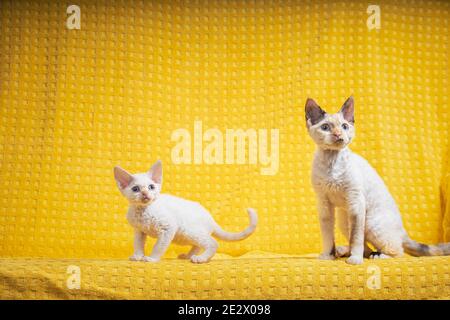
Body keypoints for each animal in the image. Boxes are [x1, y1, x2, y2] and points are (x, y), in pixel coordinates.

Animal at [114, 160, 258, 262]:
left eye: (151, 187)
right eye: (136, 189)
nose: (145, 194)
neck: (143, 210)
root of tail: (210, 218)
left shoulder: (168, 228)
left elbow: (159, 246)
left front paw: (152, 258)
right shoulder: (139, 230)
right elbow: (138, 244)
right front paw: (137, 256)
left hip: (189, 231)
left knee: (212, 243)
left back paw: (201, 259)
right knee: (198, 245)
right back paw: (189, 256)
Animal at [306, 95, 450, 264]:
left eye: (344, 126)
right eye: (325, 127)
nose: (338, 135)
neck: (331, 162)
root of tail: (402, 230)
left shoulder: (355, 201)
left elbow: (356, 238)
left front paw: (355, 260)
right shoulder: (324, 203)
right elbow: (328, 236)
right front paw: (328, 256)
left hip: (370, 222)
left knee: (396, 250)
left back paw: (377, 256)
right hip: (344, 220)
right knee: (366, 247)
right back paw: (343, 252)